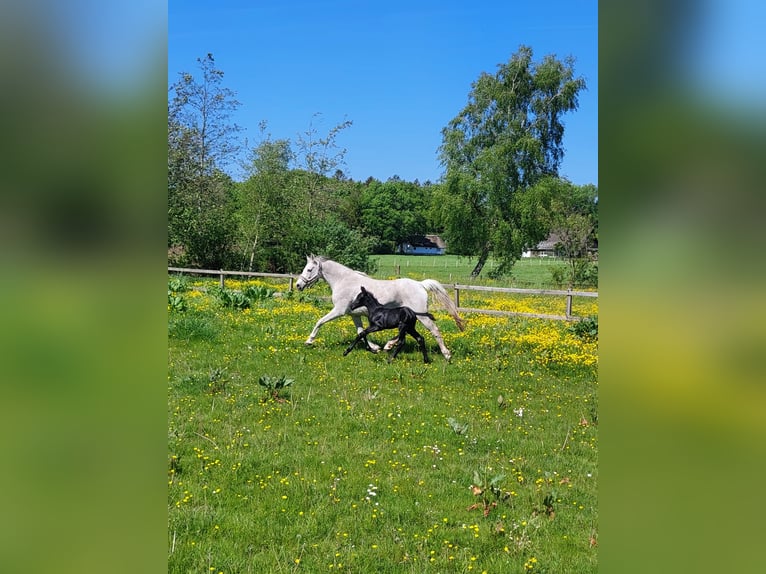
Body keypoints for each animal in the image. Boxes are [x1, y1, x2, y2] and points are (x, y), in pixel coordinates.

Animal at [296, 255, 464, 360]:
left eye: (309, 269)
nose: (298, 285)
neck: (343, 281)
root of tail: (420, 284)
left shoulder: (339, 310)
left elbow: (320, 321)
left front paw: (309, 341)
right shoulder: (354, 315)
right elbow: (361, 332)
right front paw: (374, 348)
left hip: (422, 316)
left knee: (434, 330)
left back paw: (446, 354)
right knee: (405, 333)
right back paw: (388, 345)